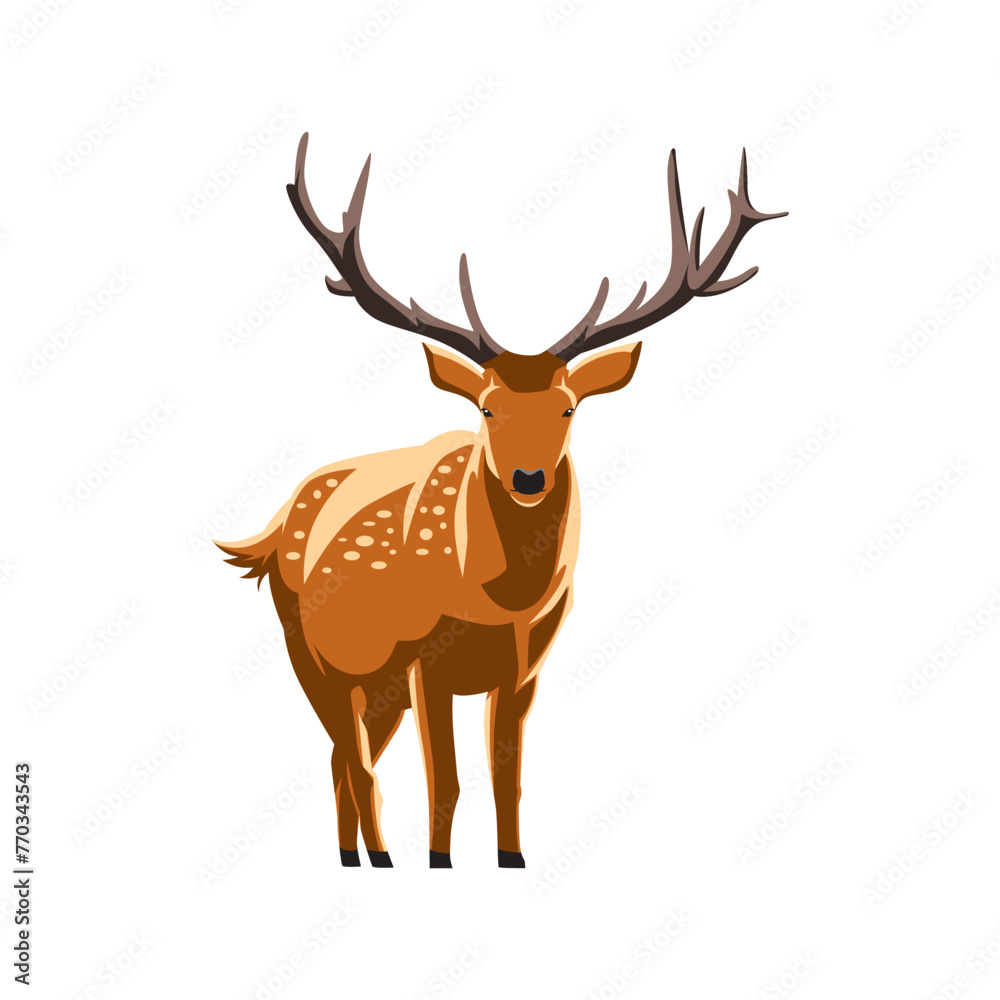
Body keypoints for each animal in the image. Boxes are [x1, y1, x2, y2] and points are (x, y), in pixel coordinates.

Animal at [218, 132, 786, 869]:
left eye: (569, 407)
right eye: (487, 408)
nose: (528, 478)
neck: (503, 600)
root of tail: (273, 528)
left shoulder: (528, 663)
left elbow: (504, 775)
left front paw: (511, 859)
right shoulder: (422, 657)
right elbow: (447, 779)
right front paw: (439, 863)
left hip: (377, 685)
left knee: (346, 760)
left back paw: (354, 856)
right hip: (309, 648)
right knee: (355, 761)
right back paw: (380, 859)